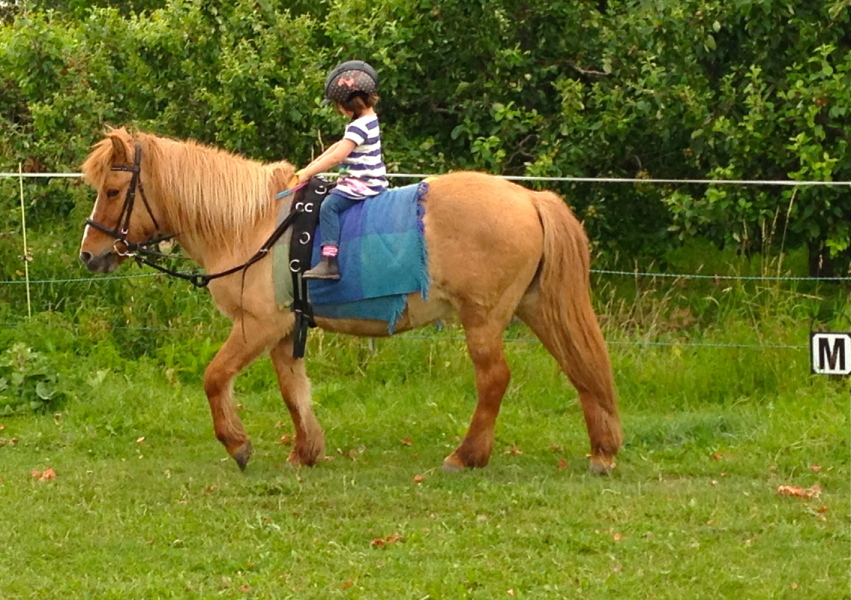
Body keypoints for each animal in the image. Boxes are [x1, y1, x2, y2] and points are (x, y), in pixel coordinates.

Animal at [78, 127, 622, 474]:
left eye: (113, 190)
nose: (89, 254)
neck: (251, 225)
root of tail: (530, 198)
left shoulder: (257, 326)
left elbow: (214, 378)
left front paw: (238, 445)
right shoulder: (283, 331)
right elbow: (294, 392)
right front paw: (306, 451)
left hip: (484, 319)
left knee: (494, 381)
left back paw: (465, 456)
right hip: (536, 307)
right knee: (579, 367)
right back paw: (601, 450)